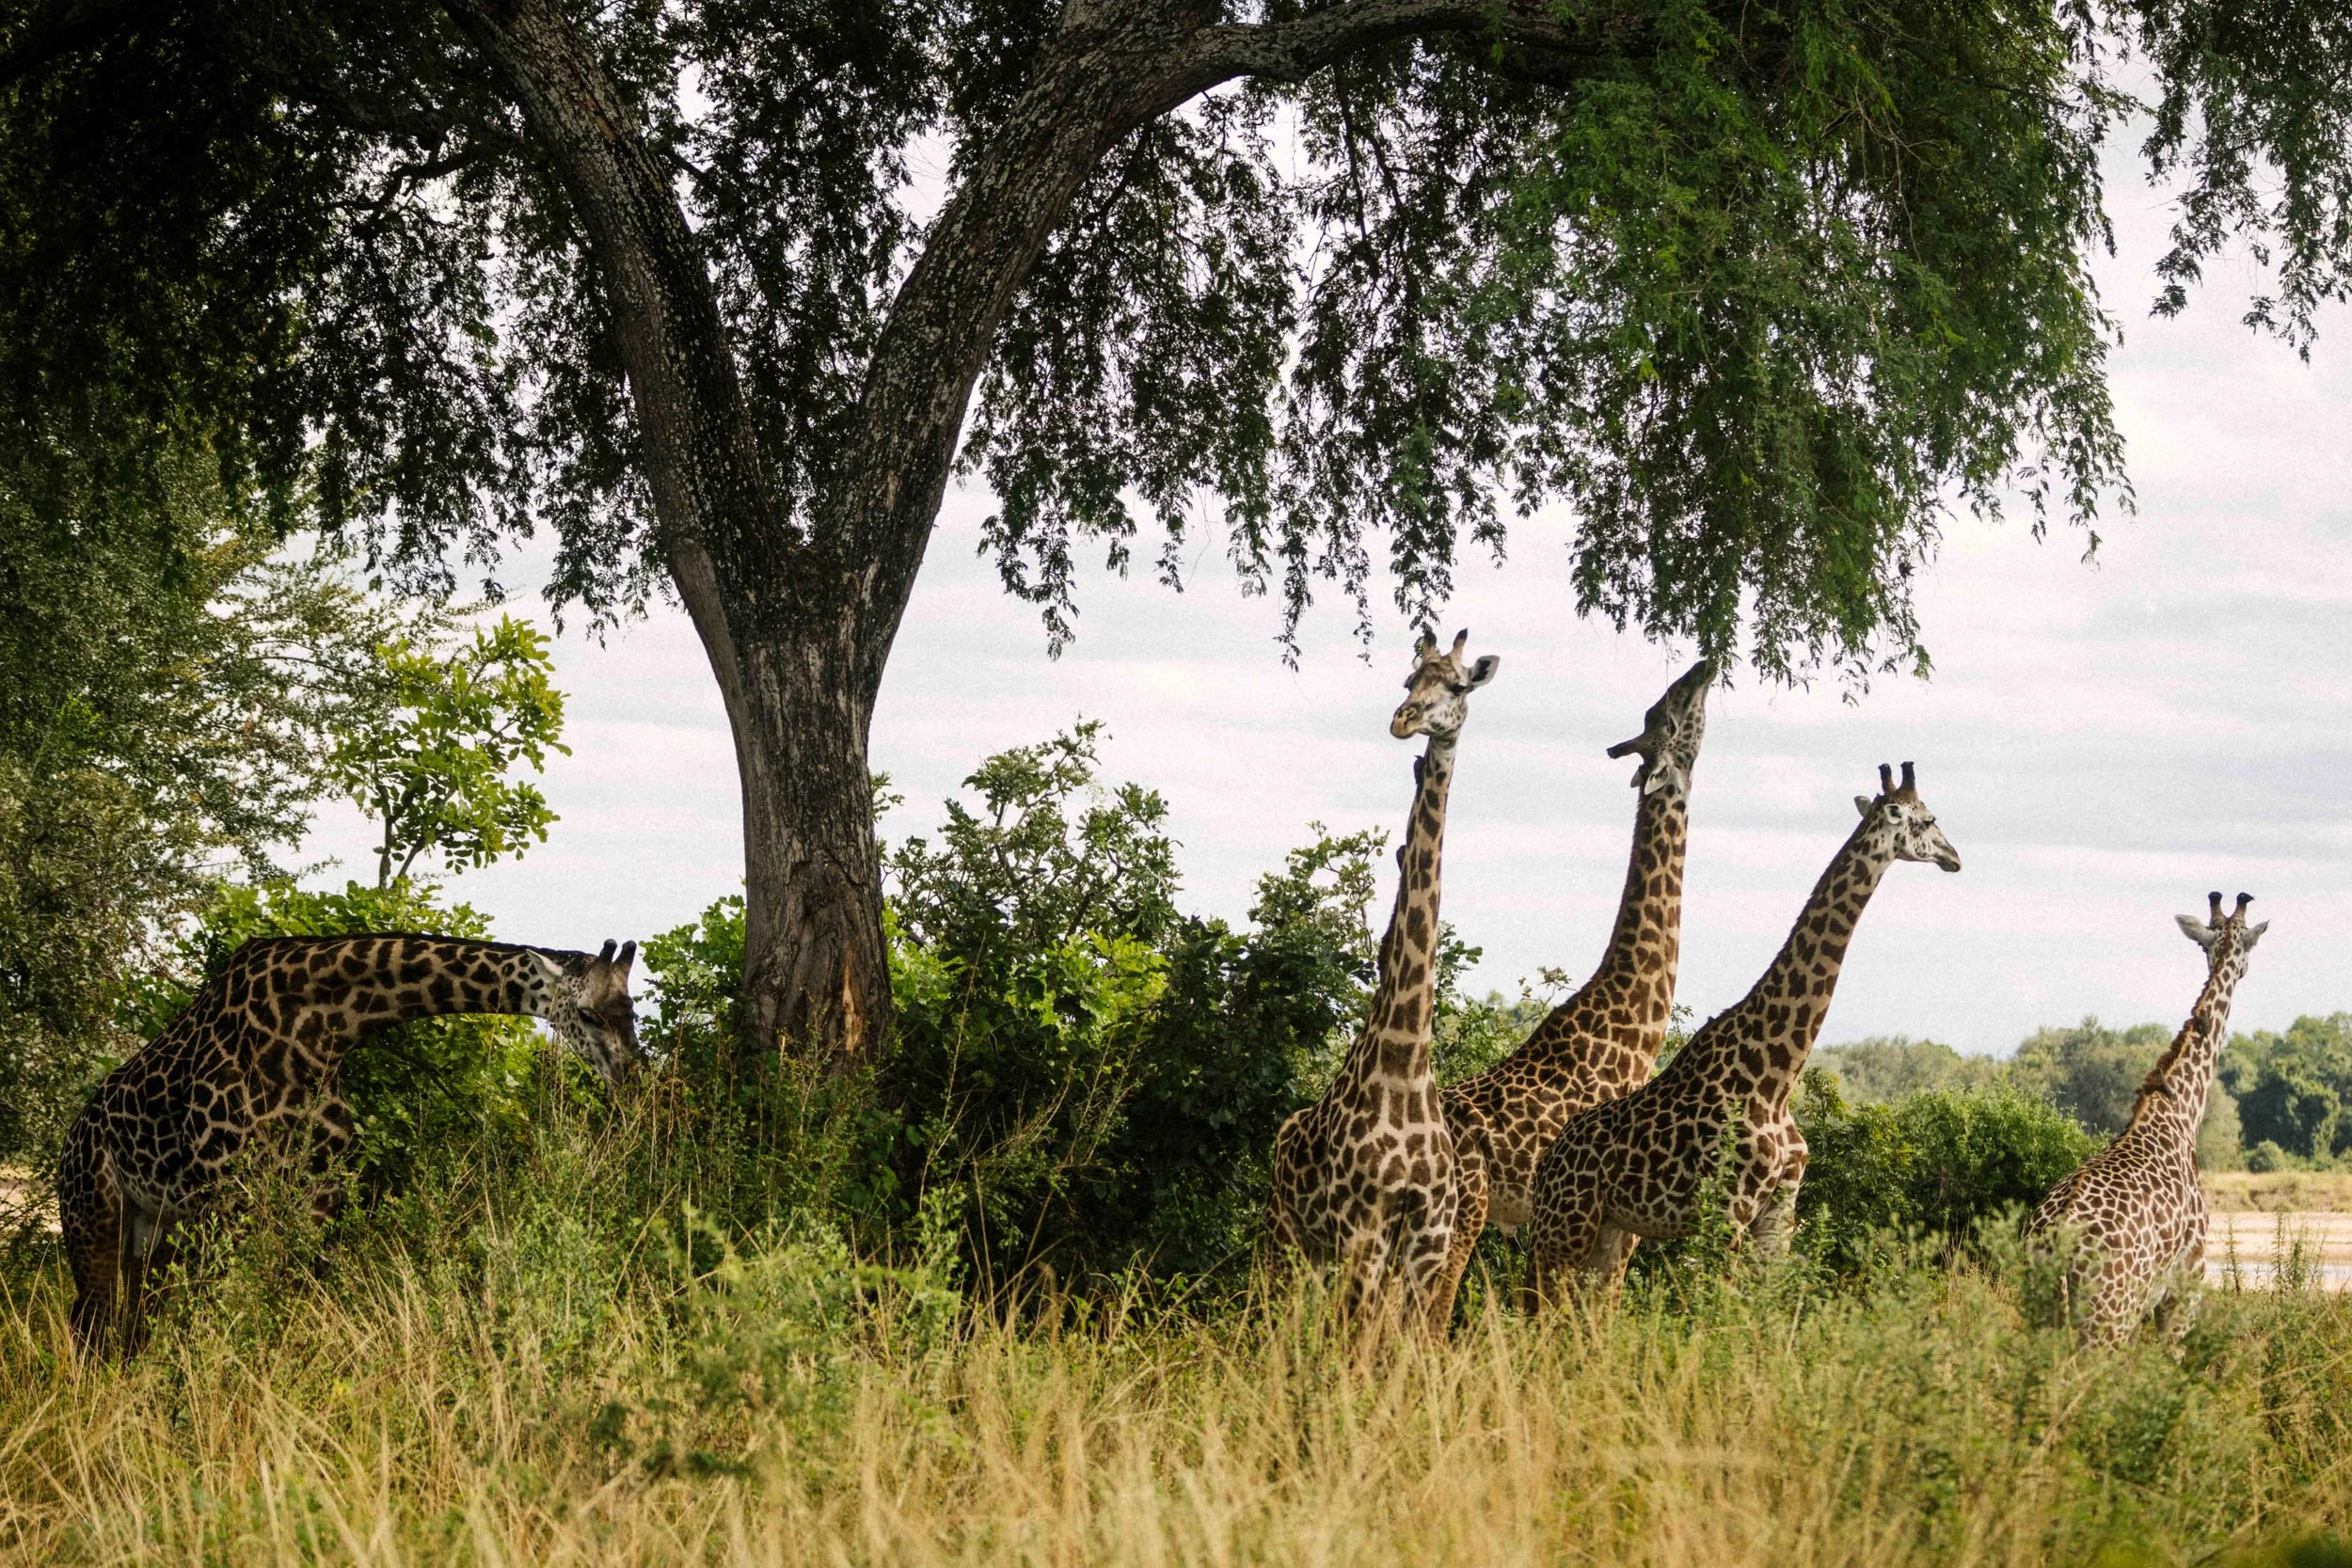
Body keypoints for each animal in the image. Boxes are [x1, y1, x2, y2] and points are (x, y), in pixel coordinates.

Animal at [57, 932, 641, 1351]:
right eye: (586, 1013)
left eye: (632, 1012)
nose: (631, 1080)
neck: (319, 1033)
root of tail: (71, 1140)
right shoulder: (223, 1195)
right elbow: (224, 1315)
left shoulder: (318, 1196)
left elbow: (286, 1310)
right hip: (95, 1217)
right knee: (91, 1323)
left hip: (153, 1233)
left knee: (130, 1326)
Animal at [1267, 629, 1499, 1331]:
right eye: (1407, 679)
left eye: (1457, 684)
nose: (1404, 720)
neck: (1406, 1061)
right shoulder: (1362, 1226)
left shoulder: (1427, 1238)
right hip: (1290, 1235)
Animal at [1527, 763, 1962, 1303]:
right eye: (1929, 819)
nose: (1954, 857)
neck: (1777, 1075)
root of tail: (1546, 1163)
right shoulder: (1727, 1211)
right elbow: (1714, 1309)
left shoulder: (1778, 1212)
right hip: (1564, 1227)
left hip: (1609, 1230)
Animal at [2026, 892, 2267, 1347]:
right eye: (2248, 944)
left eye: (2208, 944)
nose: (2244, 970)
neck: (2182, 1112)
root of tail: (2057, 1243)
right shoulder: (2186, 1285)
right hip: (2107, 1321)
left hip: (2042, 1313)